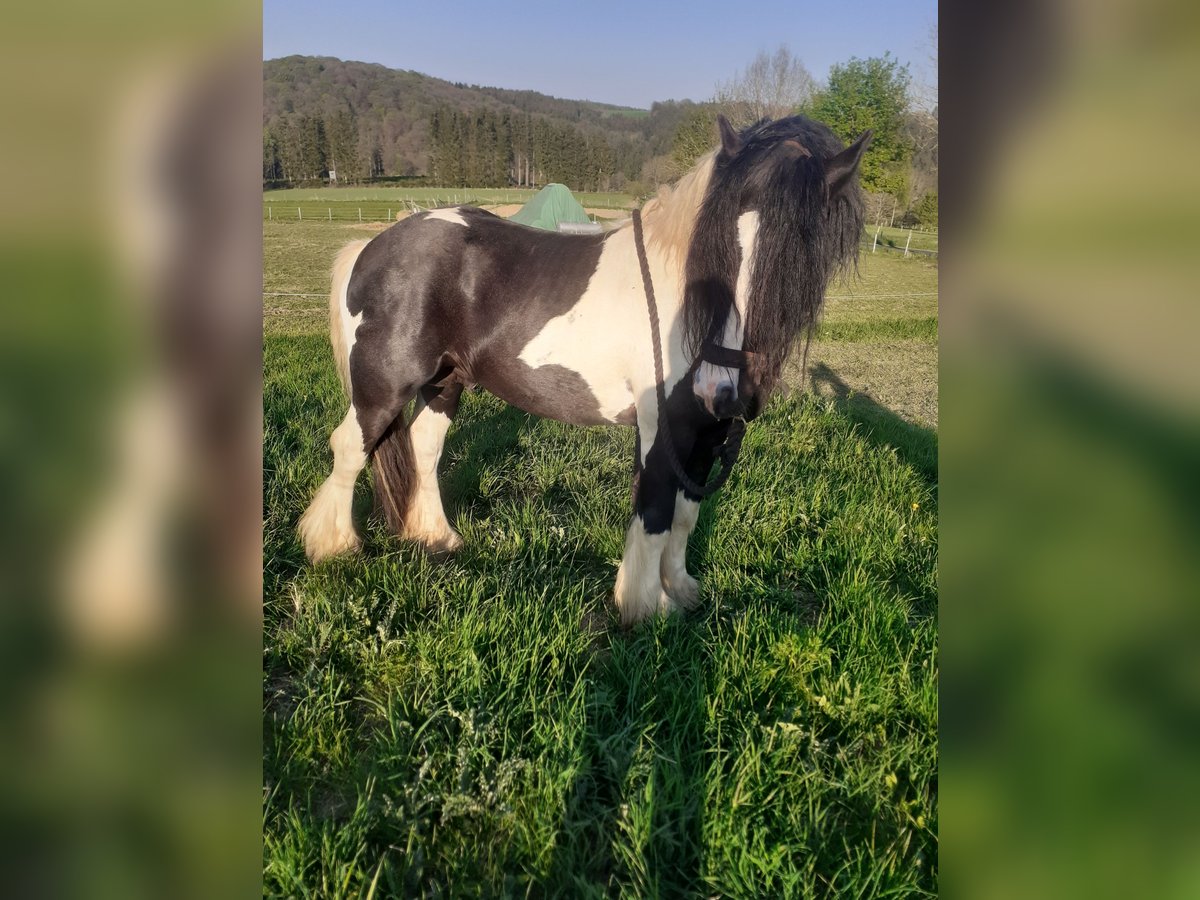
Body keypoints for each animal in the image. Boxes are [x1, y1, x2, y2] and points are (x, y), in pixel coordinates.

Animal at [298, 114, 869, 625]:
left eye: (796, 253)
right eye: (719, 243)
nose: (721, 388)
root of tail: (372, 246)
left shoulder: (708, 432)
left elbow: (685, 515)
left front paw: (682, 590)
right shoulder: (664, 428)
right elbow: (655, 511)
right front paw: (646, 608)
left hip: (446, 383)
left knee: (423, 449)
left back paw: (438, 537)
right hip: (386, 386)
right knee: (349, 447)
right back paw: (332, 546)